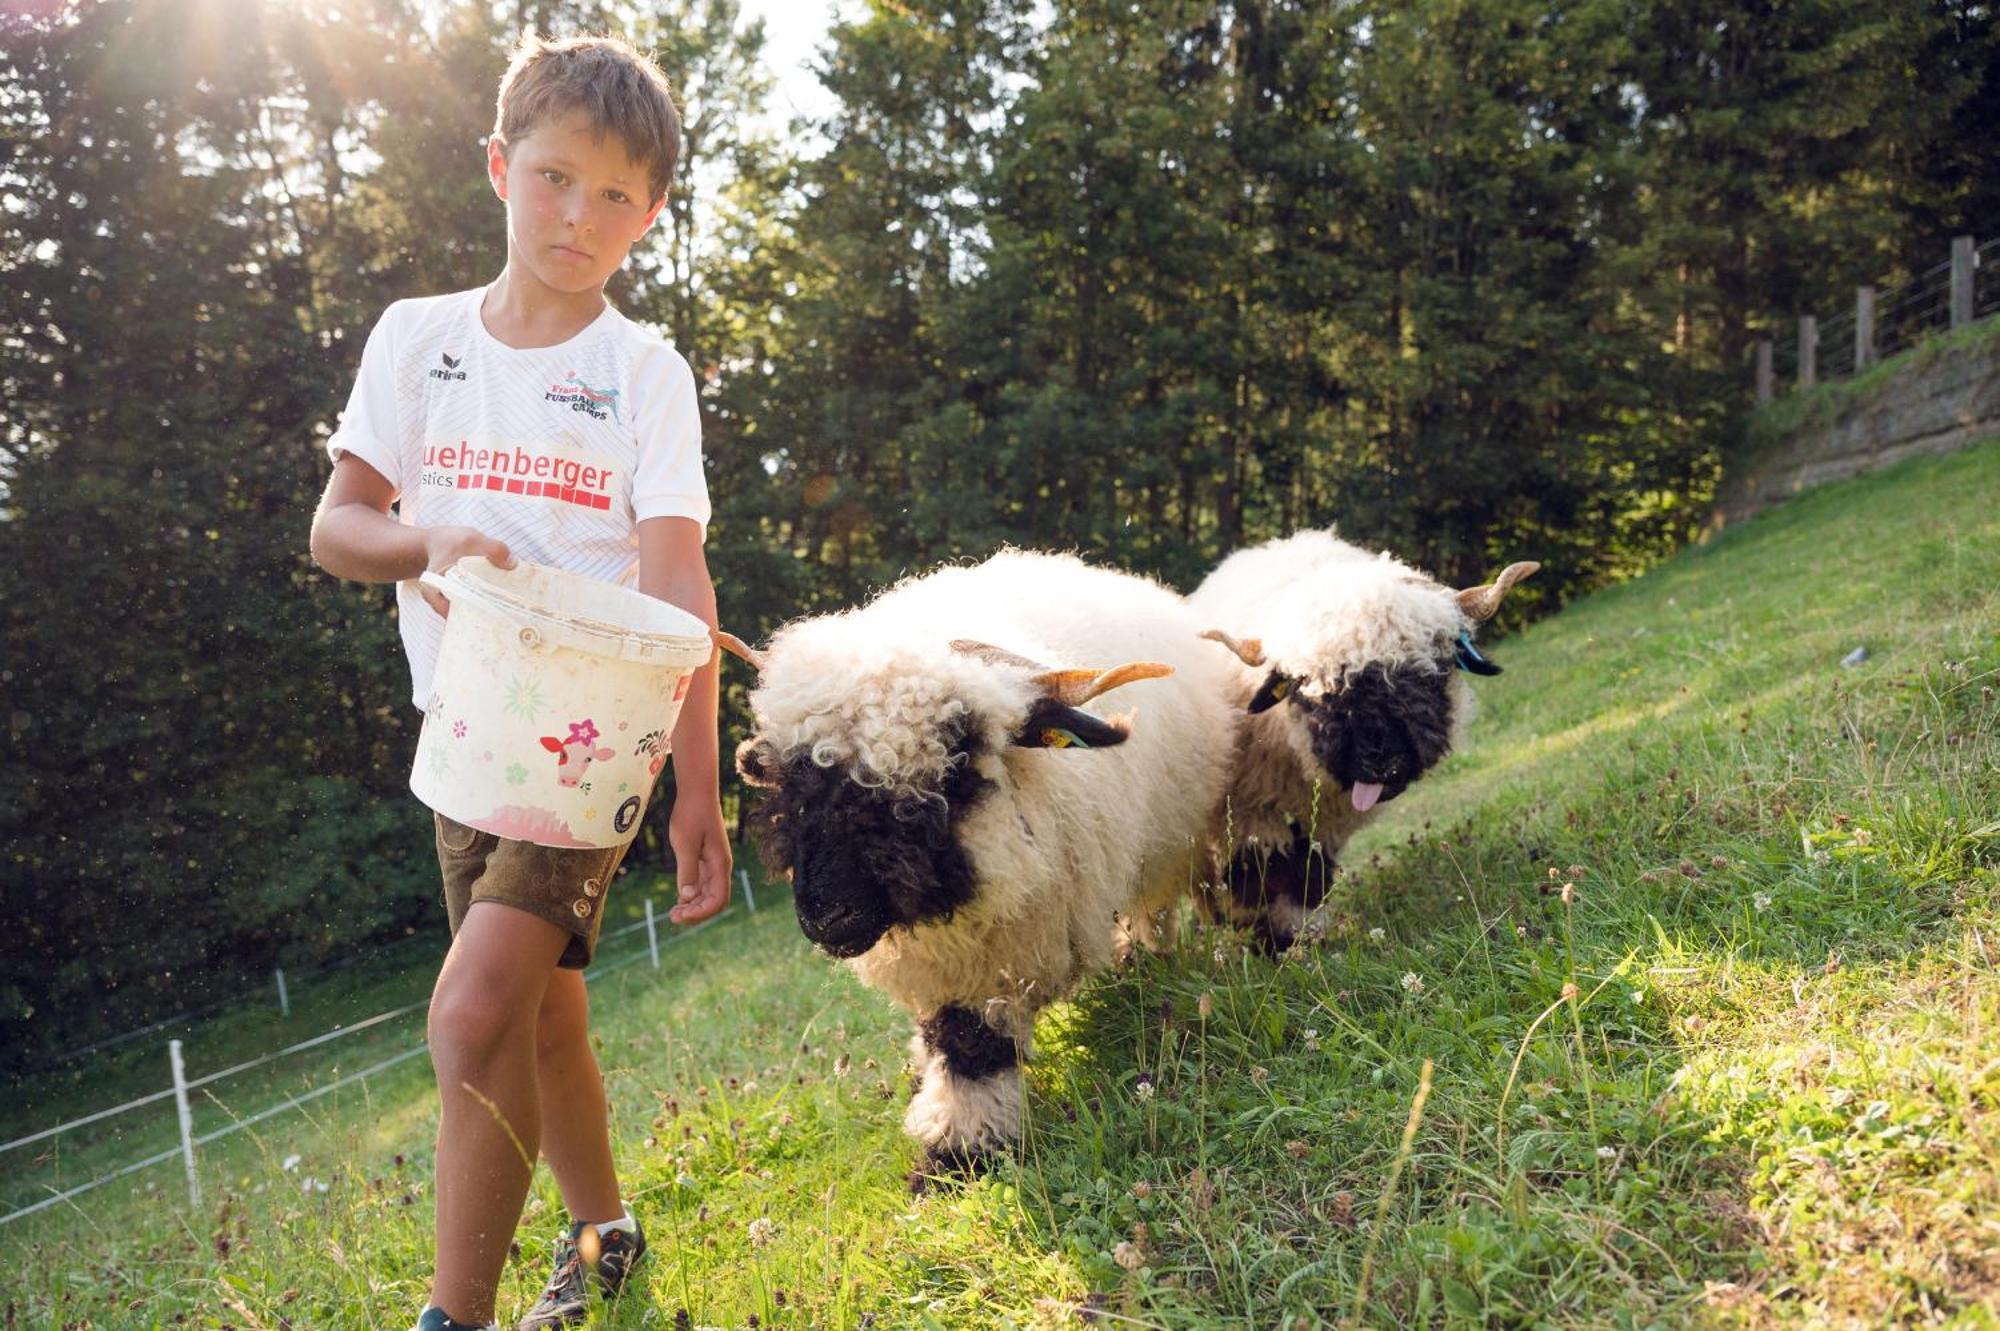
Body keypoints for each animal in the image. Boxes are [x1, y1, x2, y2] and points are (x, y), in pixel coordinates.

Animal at [728, 547, 1240, 1183]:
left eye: (957, 761)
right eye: (793, 782)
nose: (829, 916)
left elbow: (975, 1045)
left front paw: (957, 1156)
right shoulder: (952, 963)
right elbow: (961, 1039)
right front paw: (950, 1152)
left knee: (1155, 908)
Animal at [1192, 523, 1536, 947]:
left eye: (1430, 673)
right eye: (1304, 686)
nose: (1379, 761)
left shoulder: (1322, 820)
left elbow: (1307, 874)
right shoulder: (1248, 812)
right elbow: (1261, 876)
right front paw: (1275, 942)